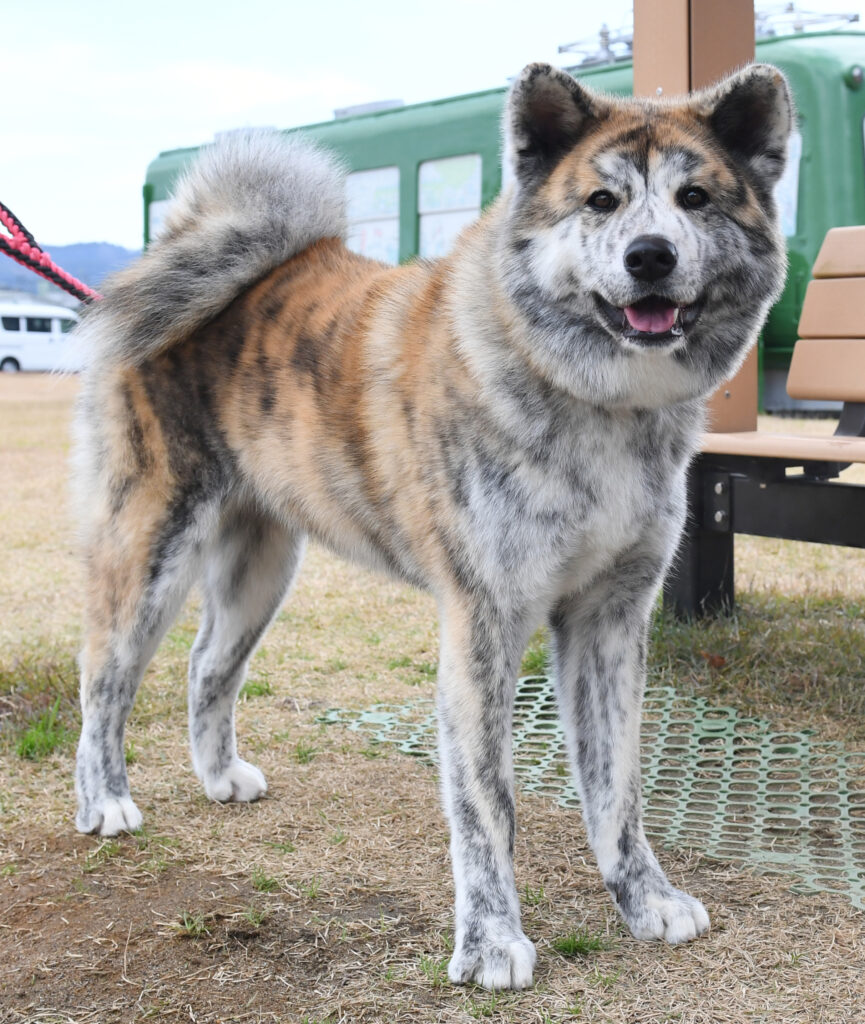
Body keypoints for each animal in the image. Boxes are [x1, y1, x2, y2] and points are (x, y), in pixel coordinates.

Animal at [72, 59, 790, 987]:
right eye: (600, 202)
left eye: (694, 197)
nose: (650, 255)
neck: (594, 403)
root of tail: (180, 251)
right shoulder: (483, 620)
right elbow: (487, 803)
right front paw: (490, 942)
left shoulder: (609, 617)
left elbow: (617, 788)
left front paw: (645, 900)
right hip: (151, 547)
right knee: (104, 679)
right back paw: (105, 801)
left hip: (262, 567)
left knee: (207, 667)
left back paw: (220, 776)